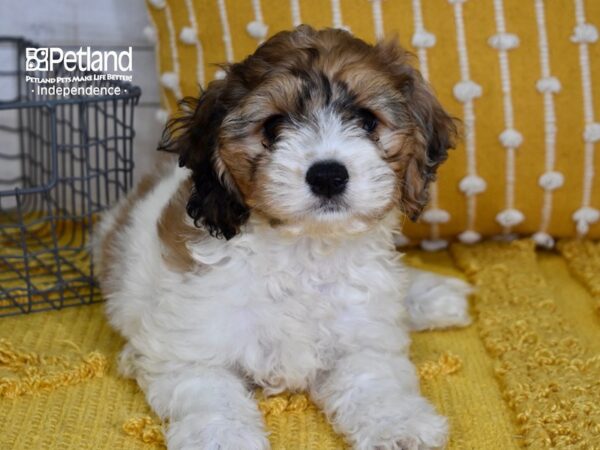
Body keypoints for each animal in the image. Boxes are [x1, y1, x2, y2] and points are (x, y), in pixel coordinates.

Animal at [94, 26, 472, 450]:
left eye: (366, 120)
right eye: (273, 127)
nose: (328, 176)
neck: (304, 251)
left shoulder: (362, 336)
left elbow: (374, 381)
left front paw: (398, 424)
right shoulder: (189, 350)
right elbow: (211, 397)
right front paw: (223, 438)